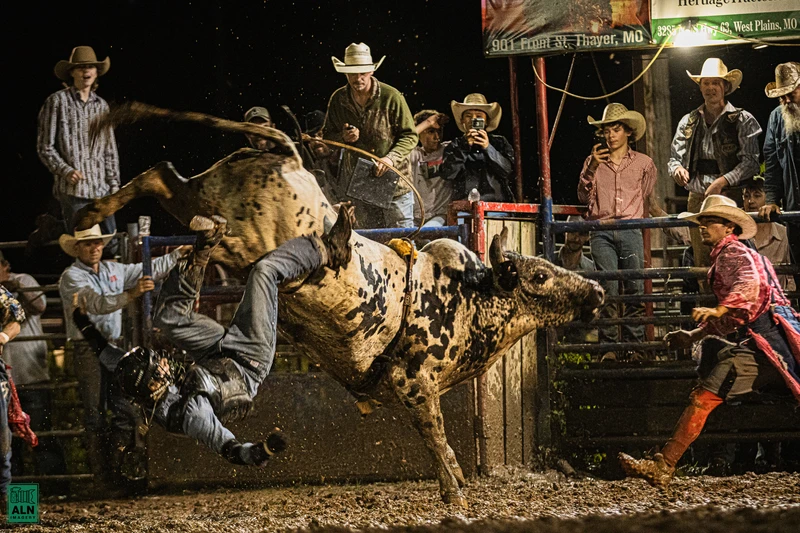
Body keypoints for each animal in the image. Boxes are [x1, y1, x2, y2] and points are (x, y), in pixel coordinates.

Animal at [77, 103, 604, 507]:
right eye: (539, 276)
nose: (596, 293)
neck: (467, 297)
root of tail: (290, 158)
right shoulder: (414, 385)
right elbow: (437, 439)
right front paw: (454, 495)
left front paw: (455, 486)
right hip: (246, 237)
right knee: (194, 206)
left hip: (204, 199)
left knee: (163, 175)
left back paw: (91, 212)